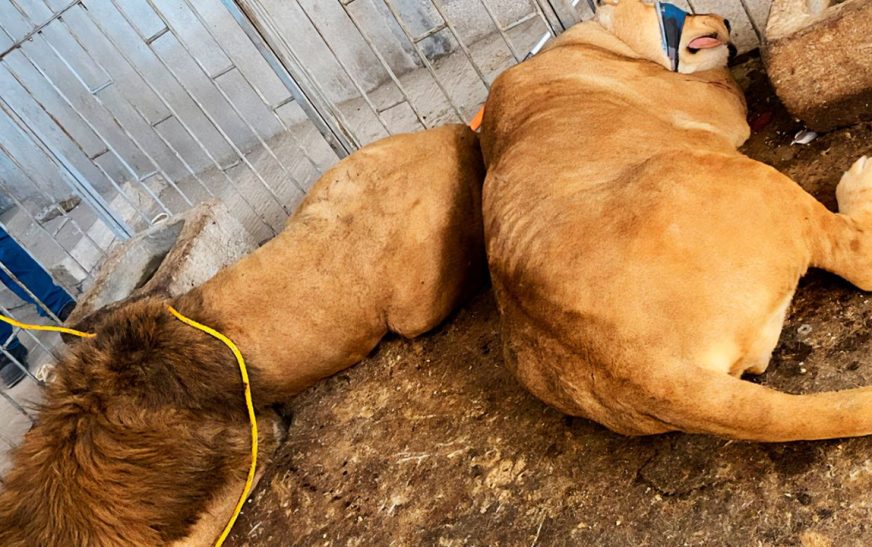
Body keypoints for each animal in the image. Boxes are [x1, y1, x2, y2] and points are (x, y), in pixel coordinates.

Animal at [480, 0, 872, 444]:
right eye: (675, 7)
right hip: (723, 173)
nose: (725, 19)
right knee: (858, 260)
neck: (594, 41)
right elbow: (720, 76)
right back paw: (859, 182)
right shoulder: (714, 100)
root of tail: (648, 370)